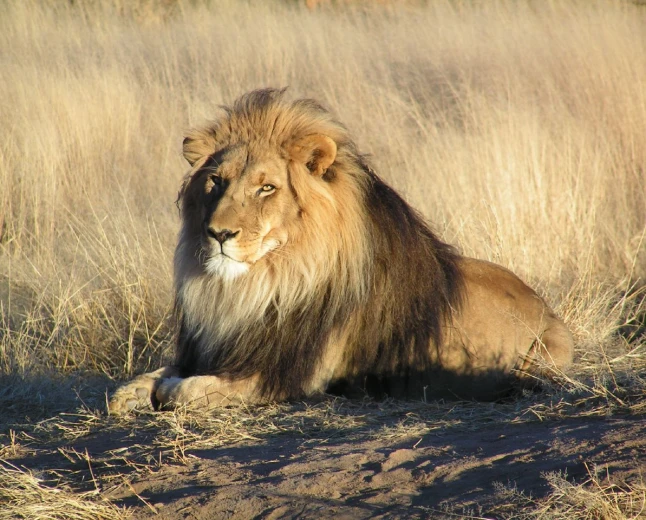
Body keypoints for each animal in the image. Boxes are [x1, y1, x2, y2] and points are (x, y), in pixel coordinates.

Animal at [109, 88, 573, 414]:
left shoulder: (287, 375)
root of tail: (545, 305)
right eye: (216, 182)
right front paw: (131, 393)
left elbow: (186, 390)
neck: (259, 285)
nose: (218, 233)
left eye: (266, 187)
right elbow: (150, 377)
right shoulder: (216, 348)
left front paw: (167, 390)